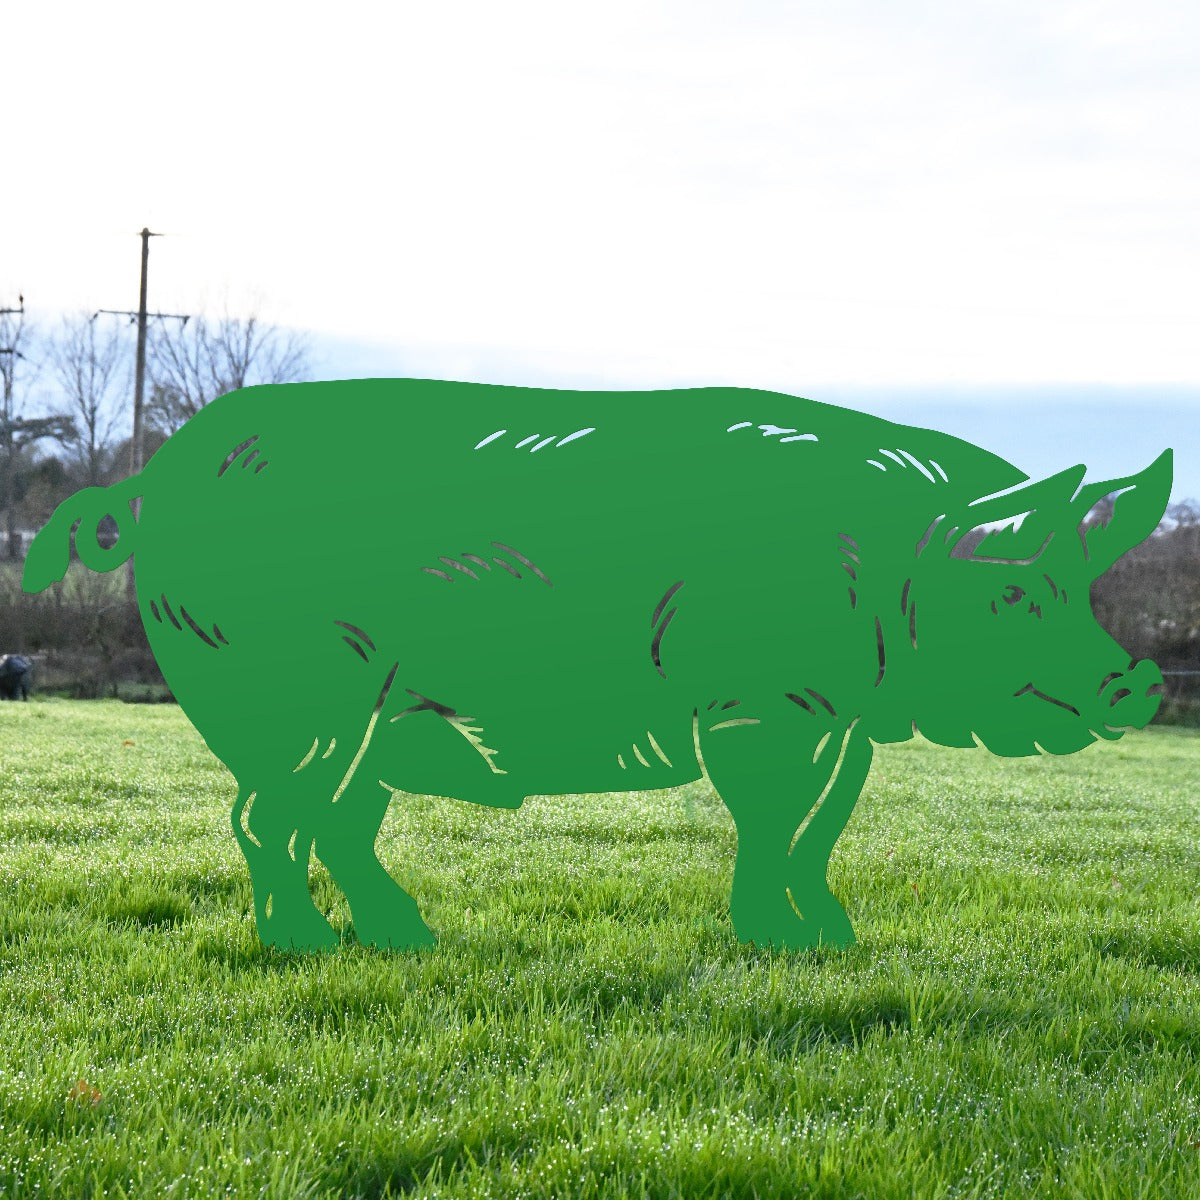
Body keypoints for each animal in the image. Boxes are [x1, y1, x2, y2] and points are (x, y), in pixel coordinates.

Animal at [22, 380, 1171, 952]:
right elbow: (768, 824)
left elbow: (818, 831)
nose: (1139, 680)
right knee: (267, 819)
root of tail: (152, 483)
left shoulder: (840, 720)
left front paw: (836, 944)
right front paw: (778, 945)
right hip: (302, 692)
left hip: (376, 716)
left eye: (1081, 589)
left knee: (336, 823)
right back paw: (304, 949)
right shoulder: (759, 702)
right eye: (1017, 594)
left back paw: (406, 944)